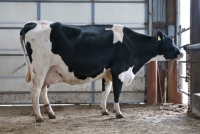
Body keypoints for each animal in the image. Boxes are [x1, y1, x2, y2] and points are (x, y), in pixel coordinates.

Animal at [19, 20, 184, 122]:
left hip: (47, 71)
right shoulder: (119, 70)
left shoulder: (108, 73)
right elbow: (117, 93)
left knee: (42, 90)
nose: (181, 53)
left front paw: (104, 111)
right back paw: (39, 117)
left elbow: (106, 91)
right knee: (35, 90)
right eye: (170, 42)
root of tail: (31, 23)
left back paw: (51, 114)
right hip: (39, 69)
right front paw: (119, 113)